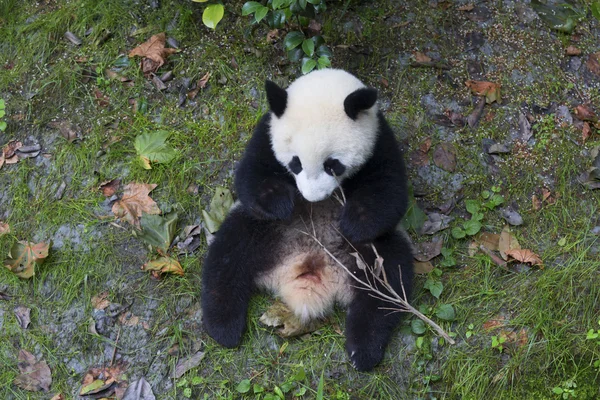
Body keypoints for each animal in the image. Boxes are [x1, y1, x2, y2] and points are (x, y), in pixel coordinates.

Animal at [202, 69, 412, 372]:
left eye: (333, 164)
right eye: (296, 163)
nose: (312, 197)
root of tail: (308, 270)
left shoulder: (380, 140)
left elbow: (389, 192)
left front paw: (351, 223)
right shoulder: (266, 133)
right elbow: (250, 177)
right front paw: (282, 203)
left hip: (369, 256)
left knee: (387, 282)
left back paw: (363, 349)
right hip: (263, 232)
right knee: (228, 256)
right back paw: (224, 327)